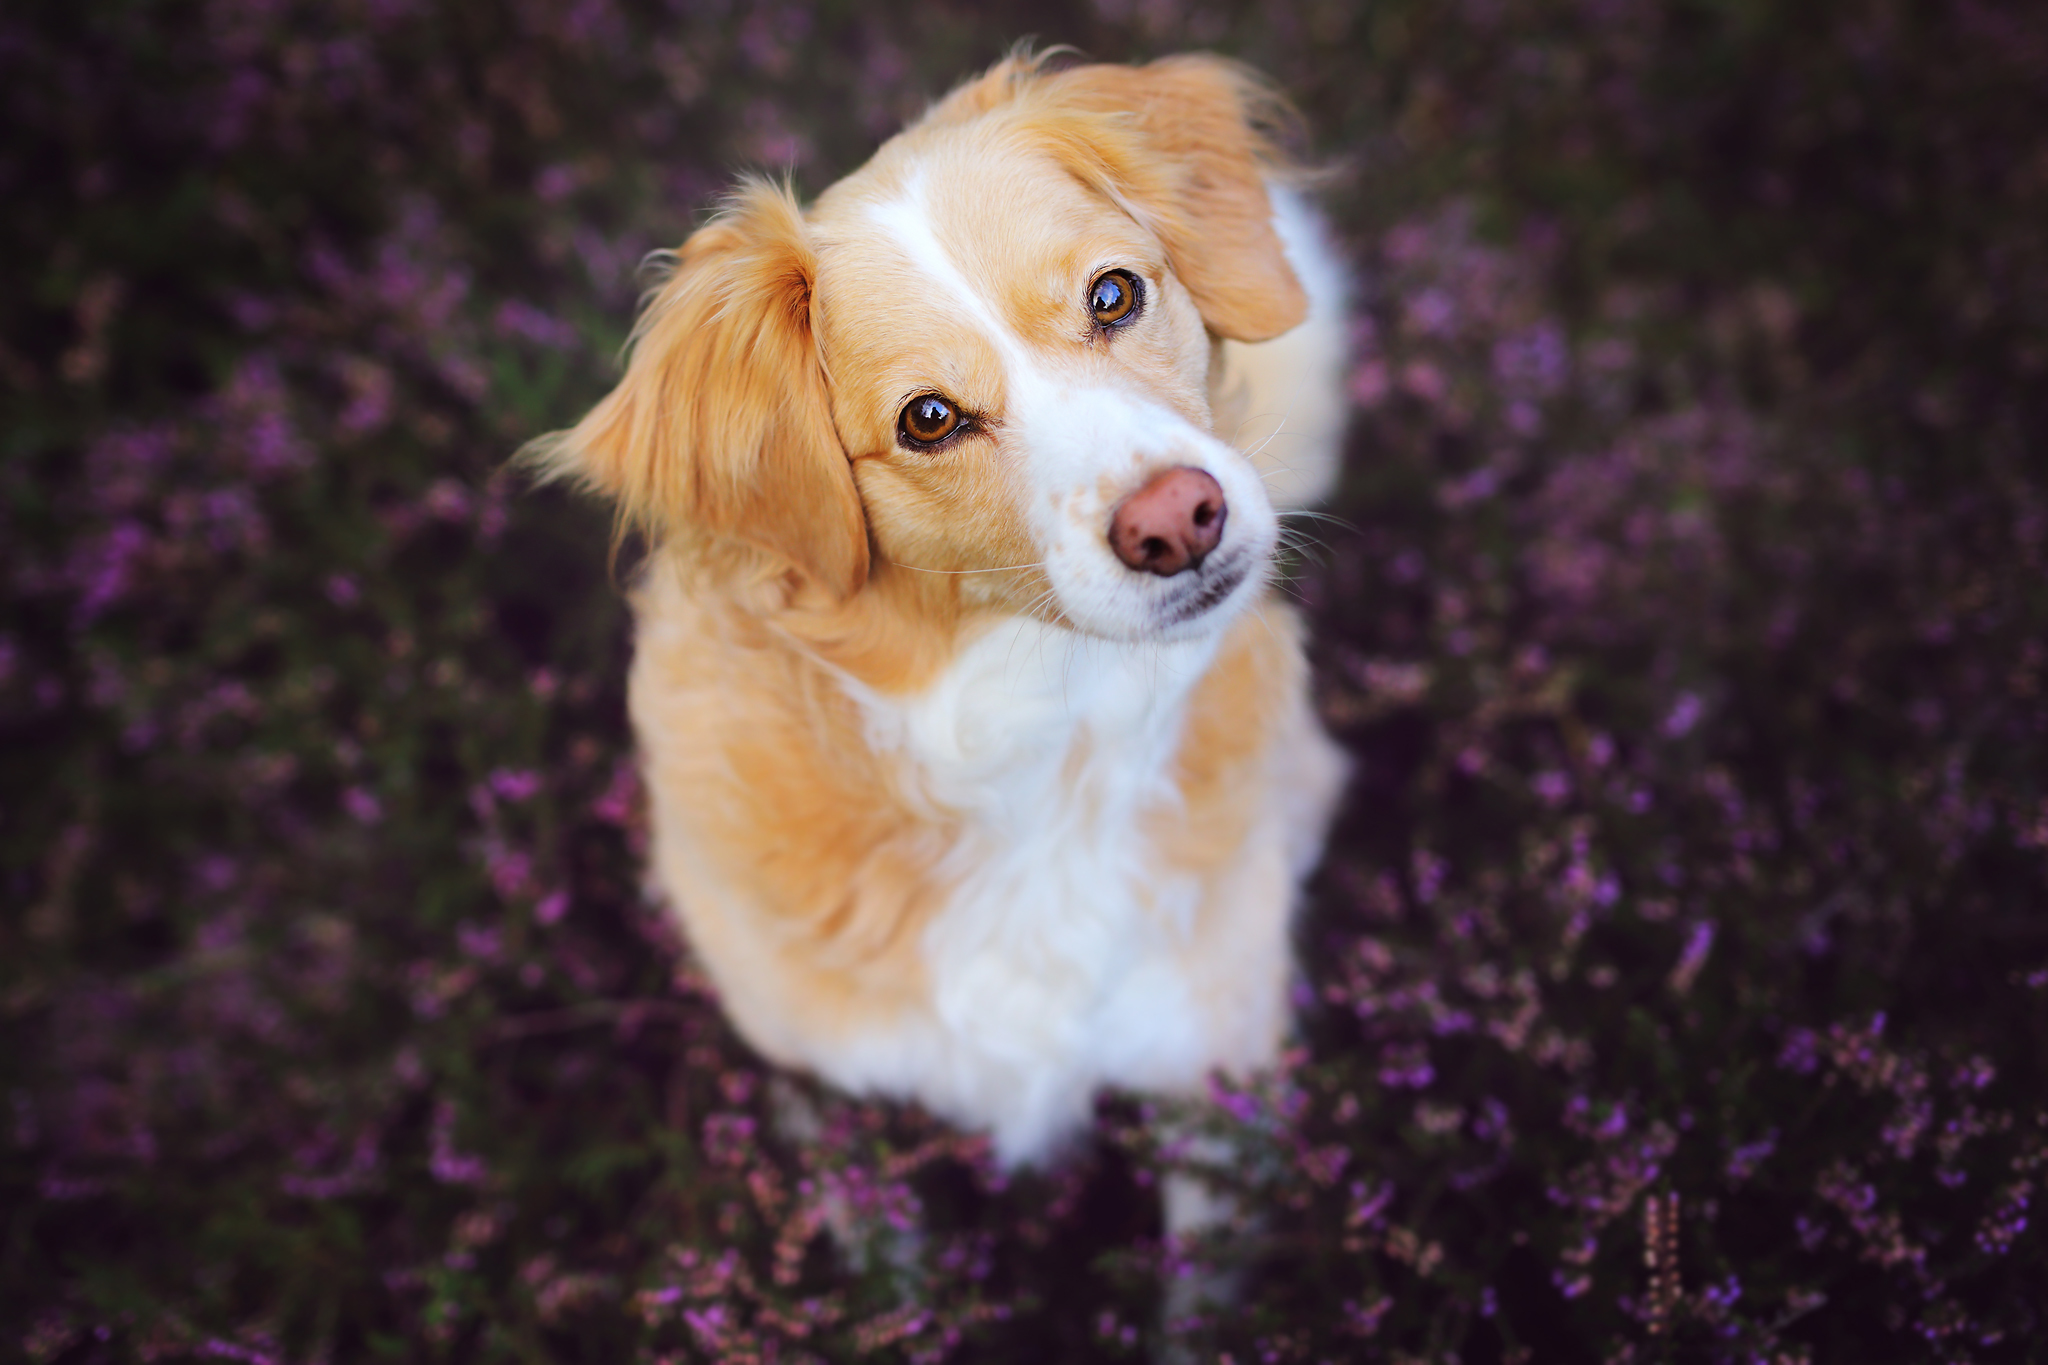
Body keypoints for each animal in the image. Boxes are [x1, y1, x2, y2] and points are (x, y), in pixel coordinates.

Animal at [536, 53, 1351, 1203]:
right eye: (929, 419)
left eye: (1114, 295)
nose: (1177, 521)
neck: (1047, 730)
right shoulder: (836, 1080)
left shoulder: (1210, 1052)